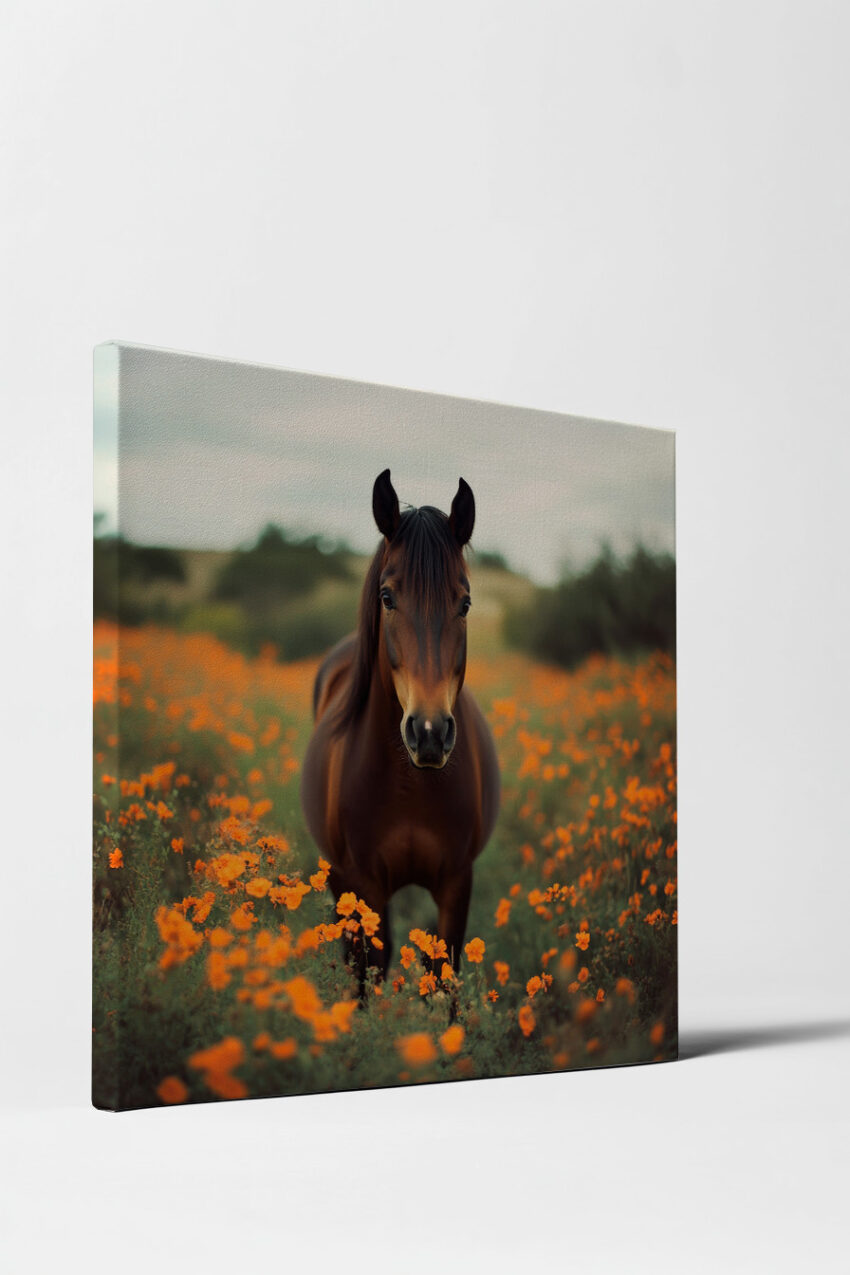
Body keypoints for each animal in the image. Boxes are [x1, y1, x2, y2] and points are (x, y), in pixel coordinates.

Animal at [300, 469, 500, 995]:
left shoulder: (456, 883)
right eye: (387, 597)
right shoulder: (361, 886)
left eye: (465, 603)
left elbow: (444, 979)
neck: (411, 784)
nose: (429, 733)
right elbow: (367, 975)